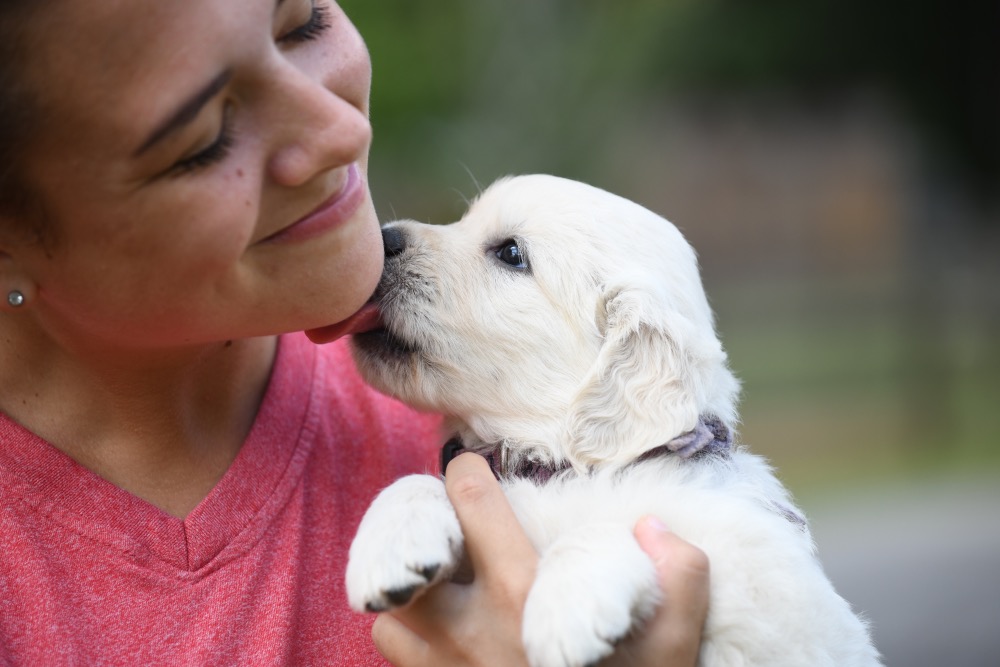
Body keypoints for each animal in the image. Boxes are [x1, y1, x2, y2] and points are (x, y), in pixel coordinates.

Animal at [344, 175, 884, 664]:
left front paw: (566, 612)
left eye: (511, 253)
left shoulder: (763, 589)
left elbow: (617, 524)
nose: (386, 238)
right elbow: (421, 480)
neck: (551, 463)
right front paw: (390, 544)